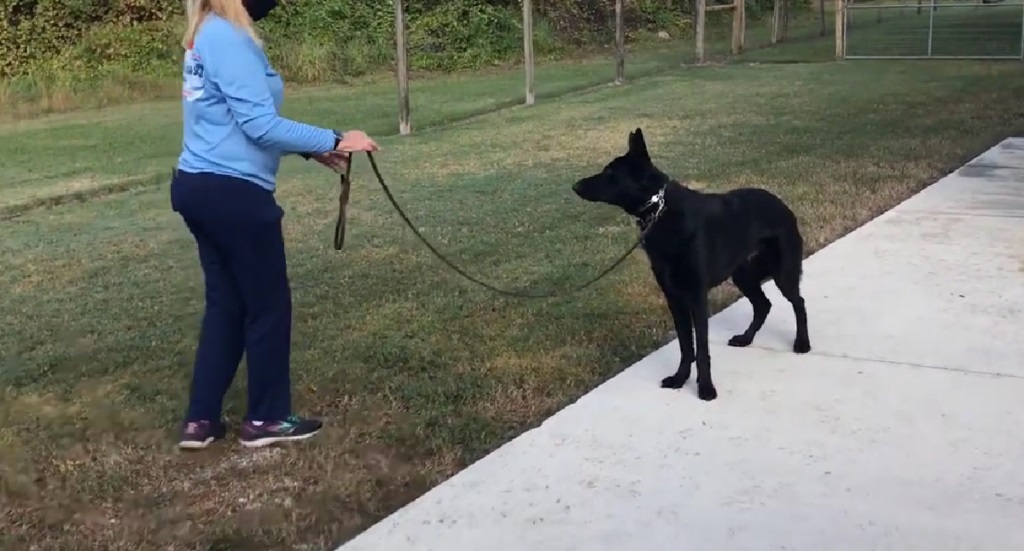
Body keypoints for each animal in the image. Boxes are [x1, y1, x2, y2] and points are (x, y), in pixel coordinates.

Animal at [573, 128, 811, 399]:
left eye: (611, 174)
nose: (575, 186)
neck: (659, 209)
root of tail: (783, 206)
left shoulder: (697, 298)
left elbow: (702, 349)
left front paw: (706, 388)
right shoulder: (674, 298)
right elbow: (686, 347)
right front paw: (680, 378)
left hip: (783, 273)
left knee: (798, 302)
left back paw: (802, 343)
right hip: (742, 276)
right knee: (763, 305)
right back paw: (746, 338)